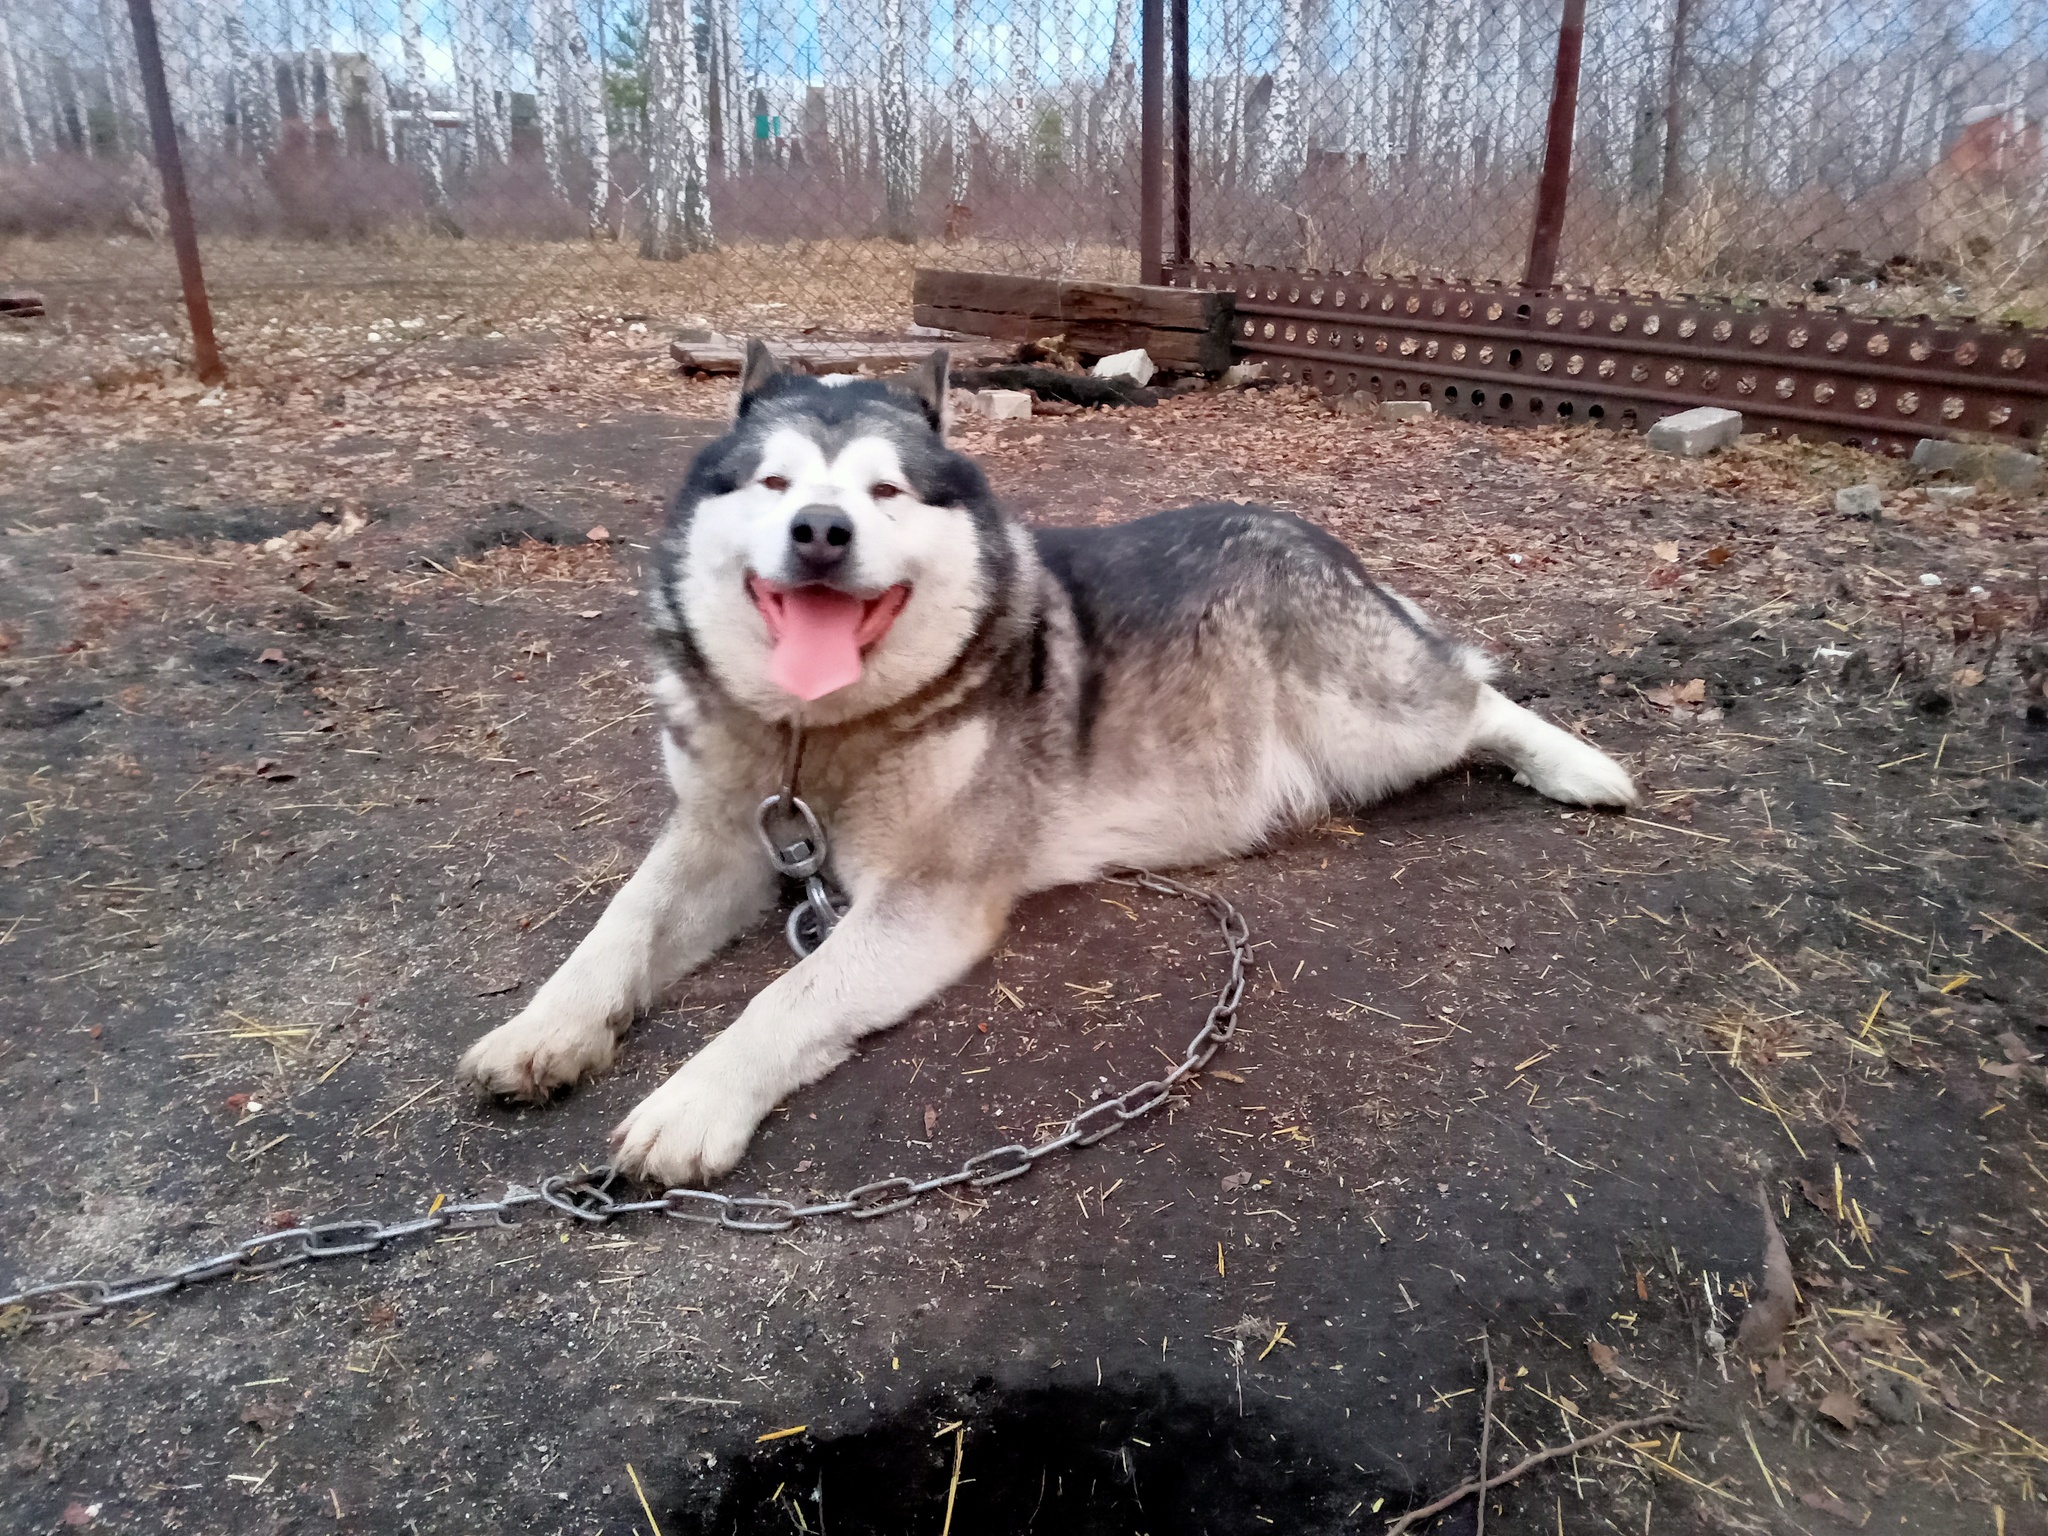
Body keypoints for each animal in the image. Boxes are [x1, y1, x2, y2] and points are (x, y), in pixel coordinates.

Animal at [456, 342, 1638, 1187]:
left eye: (886, 494)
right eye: (776, 481)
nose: (821, 530)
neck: (817, 731)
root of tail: (1312, 532)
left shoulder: (926, 903)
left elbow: (787, 997)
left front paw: (691, 1102)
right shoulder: (721, 839)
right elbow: (619, 926)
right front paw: (544, 1031)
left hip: (1371, 722)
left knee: (1476, 689)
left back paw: (1578, 766)